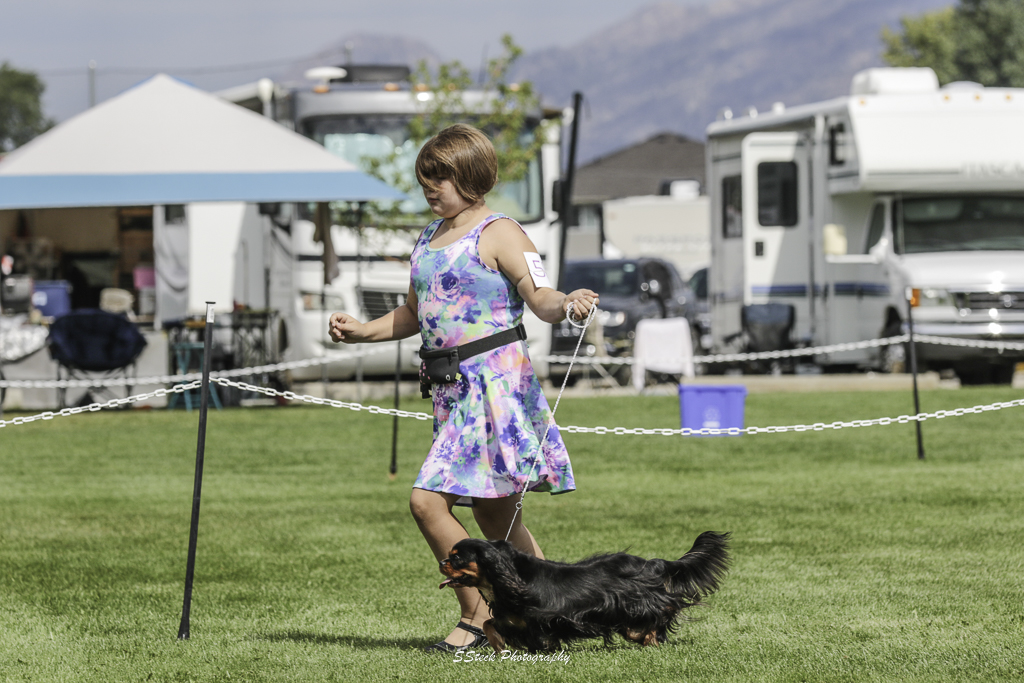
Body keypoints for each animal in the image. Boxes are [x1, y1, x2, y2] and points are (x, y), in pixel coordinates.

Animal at [438, 531, 729, 652]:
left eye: (457, 558)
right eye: (450, 556)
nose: (441, 562)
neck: (508, 574)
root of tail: (651, 563)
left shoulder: (543, 619)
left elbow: (538, 637)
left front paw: (539, 651)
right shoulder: (510, 616)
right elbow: (489, 623)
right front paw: (499, 646)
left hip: (637, 604)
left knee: (661, 613)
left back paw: (651, 639)